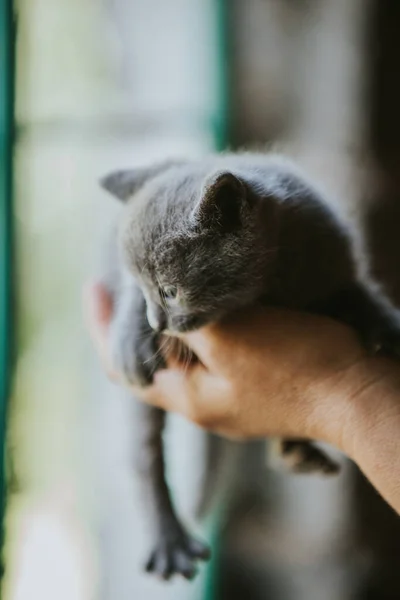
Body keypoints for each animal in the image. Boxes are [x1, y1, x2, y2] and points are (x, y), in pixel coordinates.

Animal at [98, 152, 400, 580]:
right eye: (140, 289)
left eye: (169, 292)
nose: (156, 323)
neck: (267, 286)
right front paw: (129, 335)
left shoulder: (329, 252)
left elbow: (355, 290)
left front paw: (384, 323)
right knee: (146, 455)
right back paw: (170, 541)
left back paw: (297, 450)